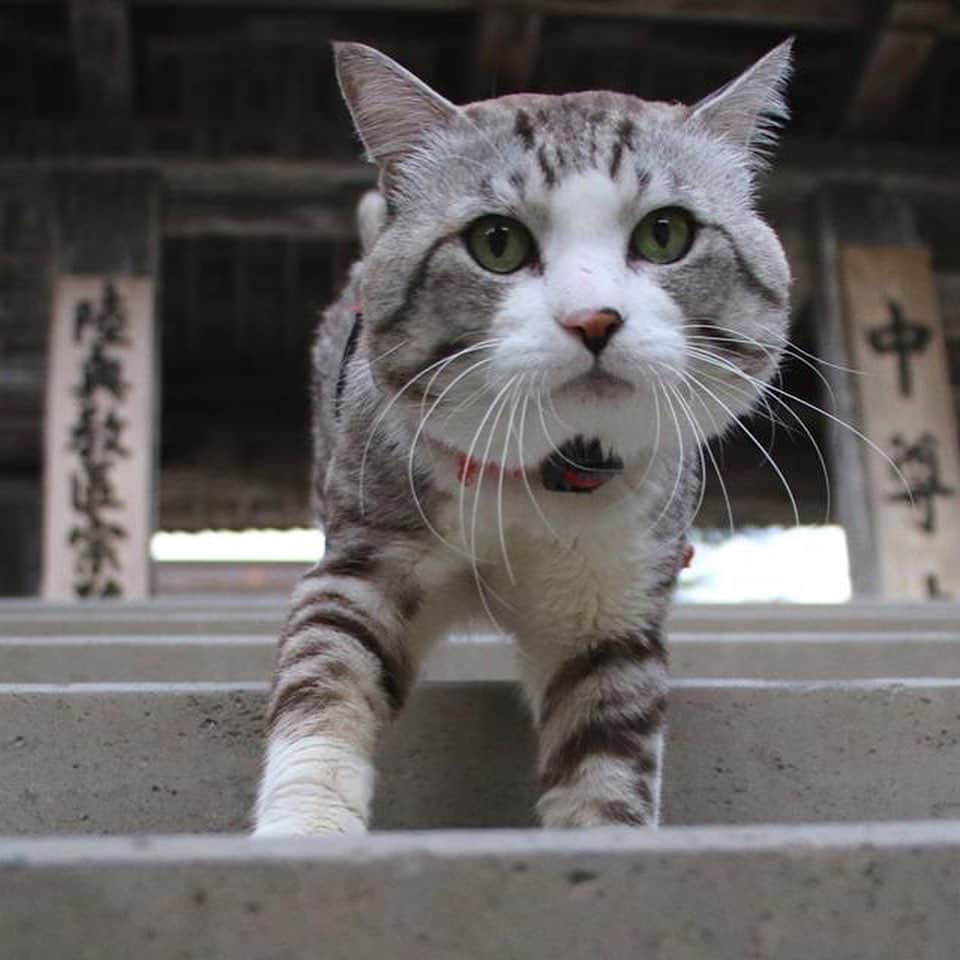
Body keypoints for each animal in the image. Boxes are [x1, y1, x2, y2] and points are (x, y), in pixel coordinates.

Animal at [251, 39, 792, 832]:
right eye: (497, 242)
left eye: (665, 233)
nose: (593, 318)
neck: (533, 481)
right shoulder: (365, 560)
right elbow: (325, 681)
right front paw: (305, 832)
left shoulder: (612, 611)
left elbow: (606, 766)